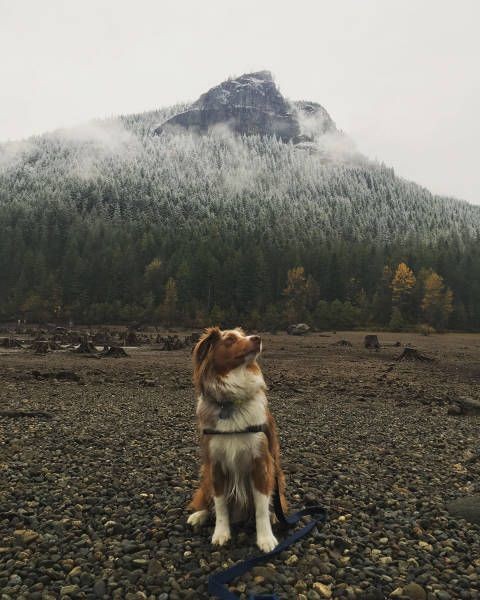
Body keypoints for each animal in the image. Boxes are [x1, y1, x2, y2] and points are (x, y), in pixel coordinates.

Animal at [187, 328, 284, 552]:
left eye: (245, 334)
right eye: (230, 339)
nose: (257, 338)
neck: (231, 402)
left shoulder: (261, 463)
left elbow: (261, 507)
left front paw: (265, 538)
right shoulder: (216, 465)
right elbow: (220, 505)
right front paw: (221, 533)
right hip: (206, 475)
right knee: (208, 502)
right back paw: (199, 515)